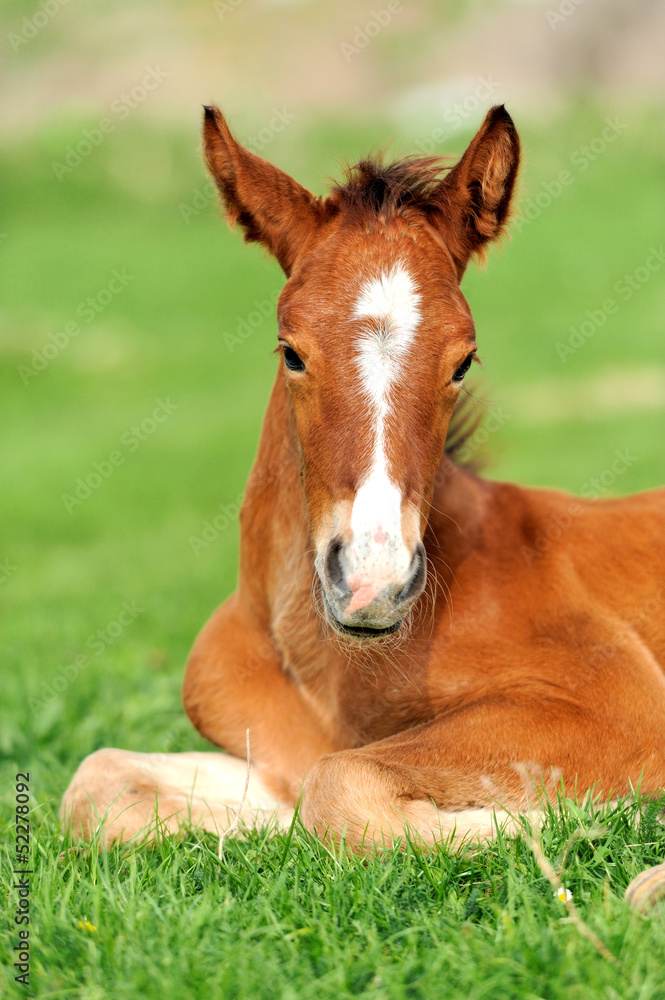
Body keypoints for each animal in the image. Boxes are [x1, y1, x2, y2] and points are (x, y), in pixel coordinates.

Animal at [61, 101, 664, 852]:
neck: (331, 672)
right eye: (291, 351)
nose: (373, 583)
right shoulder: (269, 751)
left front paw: (579, 819)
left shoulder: (617, 699)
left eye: (463, 361)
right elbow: (99, 780)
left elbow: (340, 781)